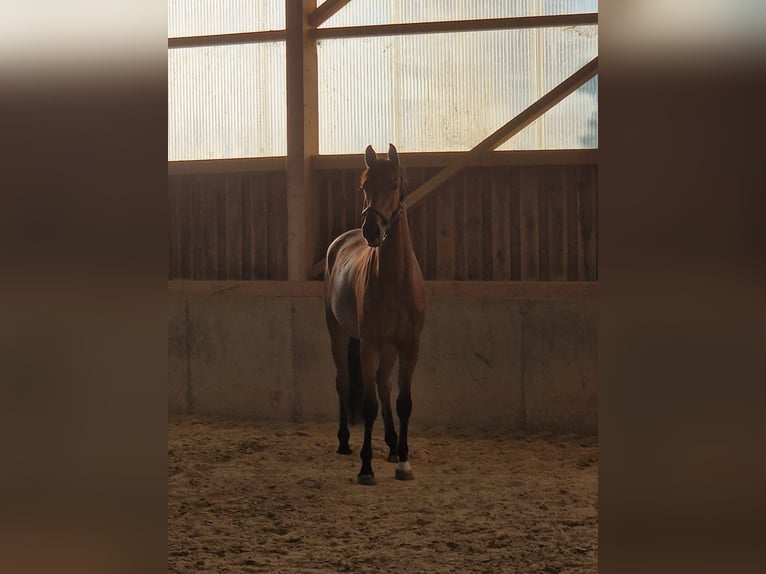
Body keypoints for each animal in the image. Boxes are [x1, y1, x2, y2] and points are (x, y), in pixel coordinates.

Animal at [324, 143, 426, 485]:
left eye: (394, 185)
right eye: (364, 187)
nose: (372, 230)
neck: (395, 279)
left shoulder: (409, 345)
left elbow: (403, 402)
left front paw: (404, 462)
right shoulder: (368, 344)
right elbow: (367, 404)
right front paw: (366, 467)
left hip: (390, 346)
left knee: (383, 384)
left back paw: (393, 445)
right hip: (338, 333)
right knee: (344, 381)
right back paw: (344, 442)